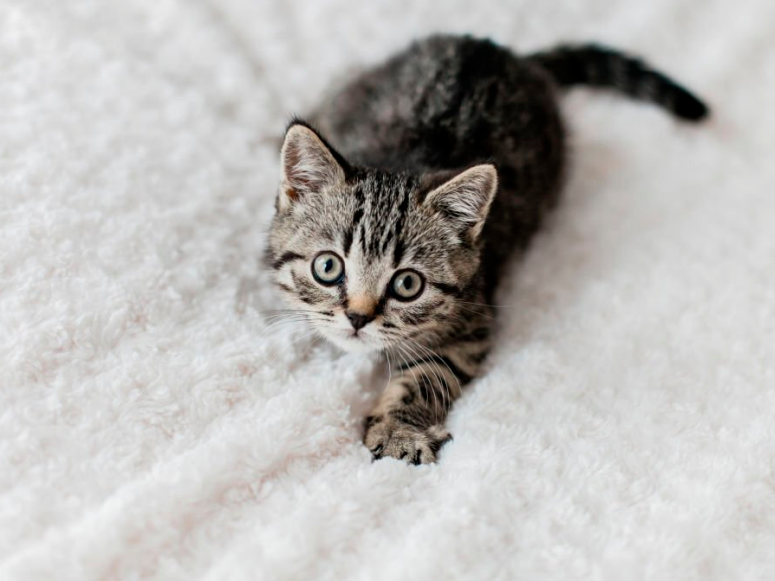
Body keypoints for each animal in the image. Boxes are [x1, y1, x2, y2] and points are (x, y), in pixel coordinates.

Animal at [266, 35, 708, 462]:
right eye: (328, 267)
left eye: (407, 285)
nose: (358, 318)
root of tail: (502, 53)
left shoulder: (472, 324)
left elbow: (428, 377)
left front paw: (398, 431)